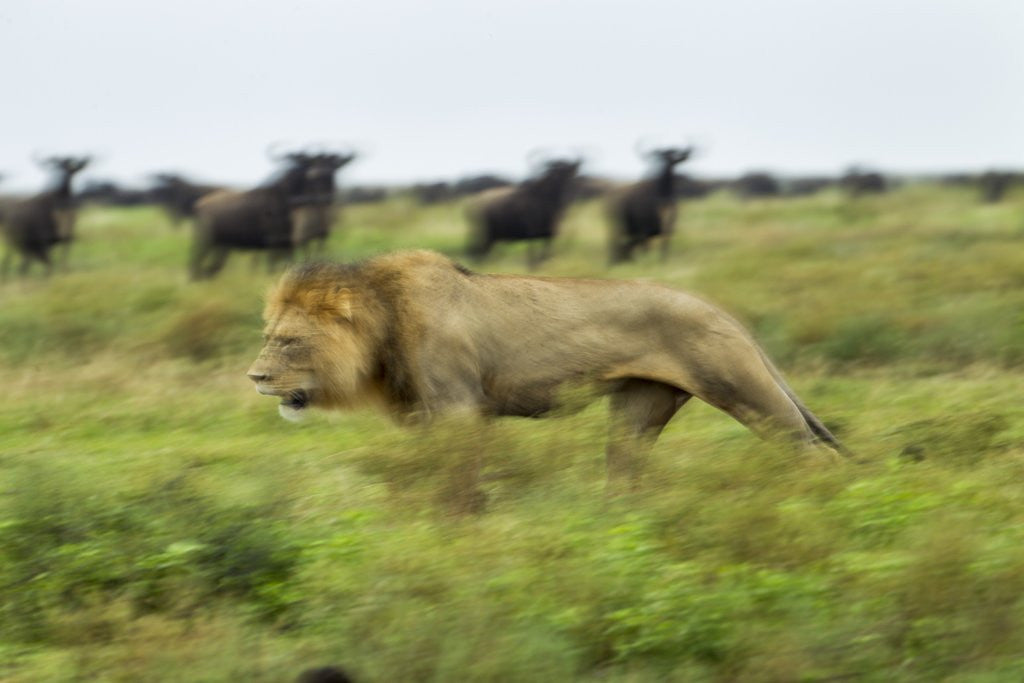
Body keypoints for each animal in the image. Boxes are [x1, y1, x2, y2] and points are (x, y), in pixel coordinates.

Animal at [247, 250, 849, 476]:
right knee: (625, 472)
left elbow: (458, 482)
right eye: (269, 336)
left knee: (814, 455)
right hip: (638, 408)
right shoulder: (429, 415)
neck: (385, 323)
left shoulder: (458, 410)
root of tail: (724, 312)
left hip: (745, 390)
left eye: (290, 342)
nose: (255, 378)